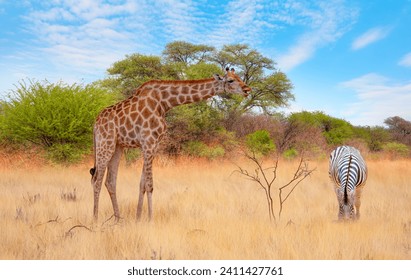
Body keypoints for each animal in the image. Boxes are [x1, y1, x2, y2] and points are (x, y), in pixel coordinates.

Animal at [90, 68, 251, 221]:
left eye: (239, 77)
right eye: (230, 80)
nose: (247, 89)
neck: (164, 103)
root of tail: (95, 124)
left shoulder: (153, 144)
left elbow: (142, 184)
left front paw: (138, 218)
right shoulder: (148, 142)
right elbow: (150, 185)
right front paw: (150, 220)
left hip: (117, 146)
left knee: (110, 182)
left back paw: (118, 220)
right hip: (105, 143)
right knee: (96, 180)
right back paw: (95, 220)